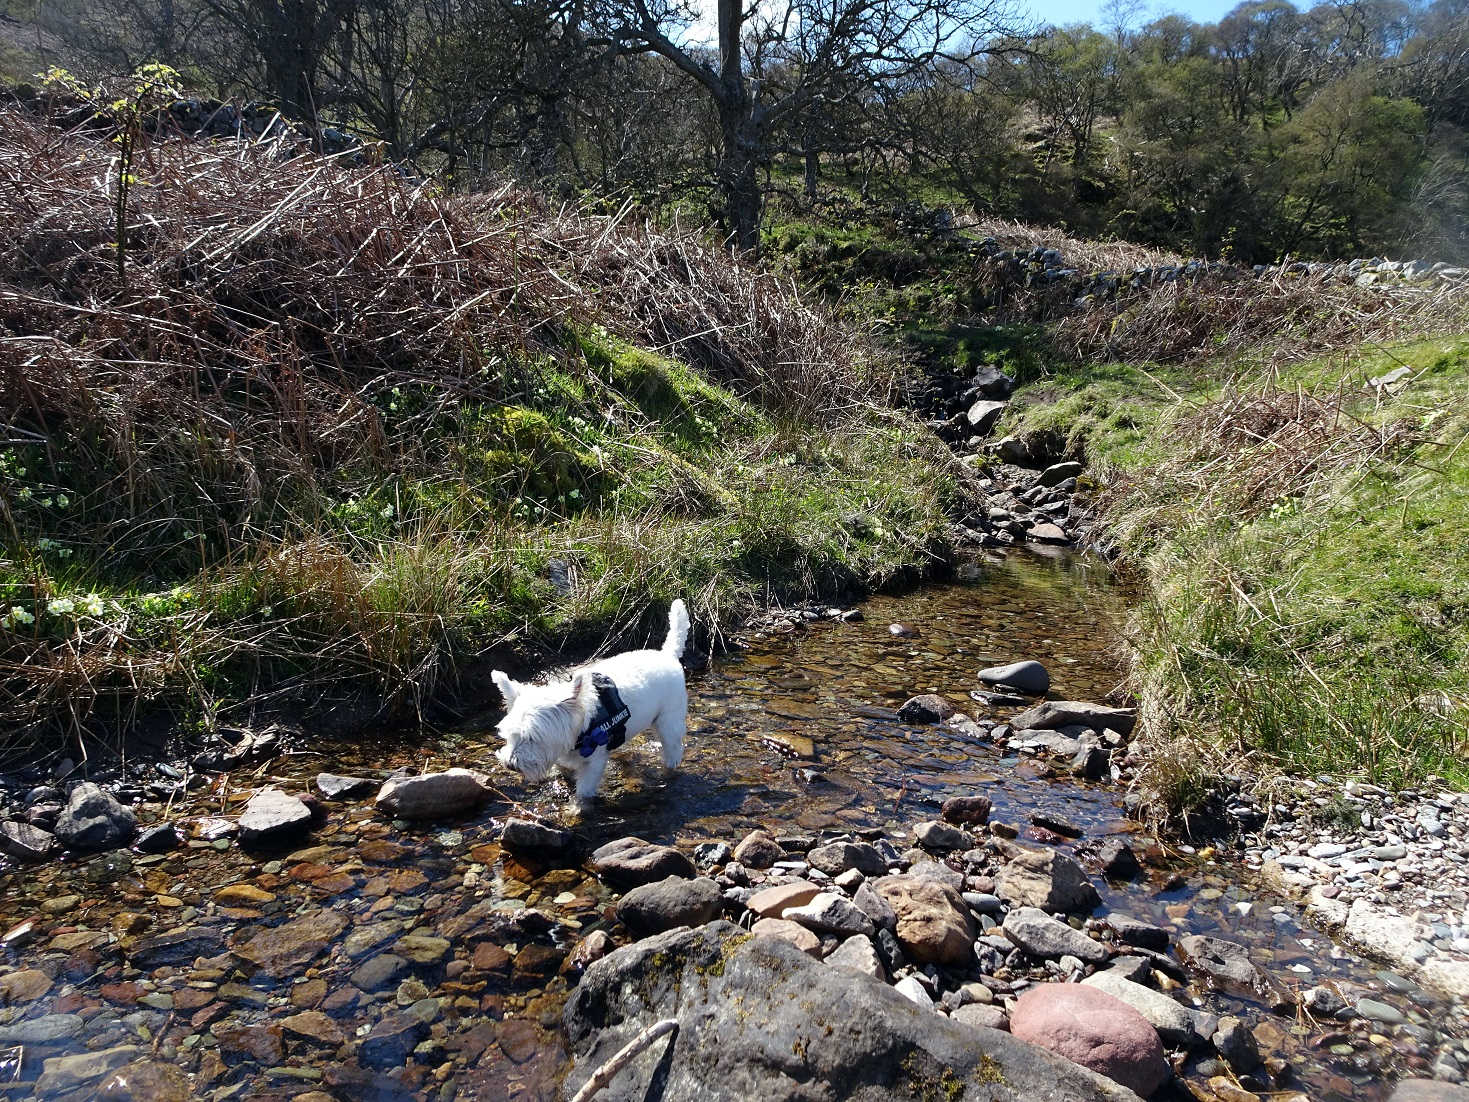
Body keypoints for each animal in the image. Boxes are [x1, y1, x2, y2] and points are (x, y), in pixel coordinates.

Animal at [490, 599, 690, 805]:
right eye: (509, 735)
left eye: (533, 737)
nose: (510, 765)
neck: (580, 728)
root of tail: (667, 655)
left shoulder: (593, 763)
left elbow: (583, 792)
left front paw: (577, 807)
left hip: (669, 722)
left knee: (674, 748)